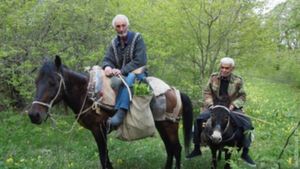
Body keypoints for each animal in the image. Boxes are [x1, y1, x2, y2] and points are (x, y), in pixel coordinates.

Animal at [27, 55, 192, 169]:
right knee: (170, 149)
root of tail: (174, 90)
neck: (88, 93)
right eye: (36, 82)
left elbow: (104, 158)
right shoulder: (96, 131)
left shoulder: (99, 129)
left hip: (170, 125)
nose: (34, 115)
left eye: (53, 83)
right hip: (161, 124)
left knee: (176, 149)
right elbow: (105, 158)